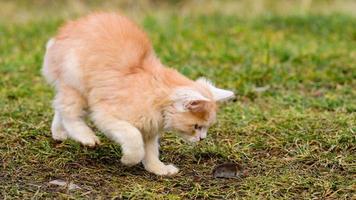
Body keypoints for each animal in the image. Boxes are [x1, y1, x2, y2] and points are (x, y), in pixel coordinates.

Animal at [41, 12, 235, 175]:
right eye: (196, 126)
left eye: (206, 128)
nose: (202, 139)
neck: (157, 100)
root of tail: (63, 32)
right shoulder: (106, 115)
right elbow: (134, 139)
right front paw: (128, 160)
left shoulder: (149, 130)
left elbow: (150, 153)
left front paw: (159, 170)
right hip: (76, 85)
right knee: (69, 113)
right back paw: (86, 137)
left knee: (59, 107)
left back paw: (59, 133)